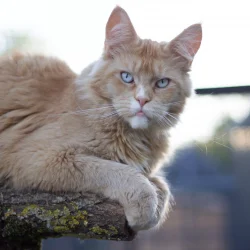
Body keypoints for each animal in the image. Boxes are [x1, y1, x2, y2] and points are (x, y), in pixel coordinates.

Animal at [0, 6, 201, 232]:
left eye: (162, 83)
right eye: (127, 77)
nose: (142, 100)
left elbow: (162, 187)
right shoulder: (38, 158)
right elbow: (120, 172)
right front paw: (144, 210)